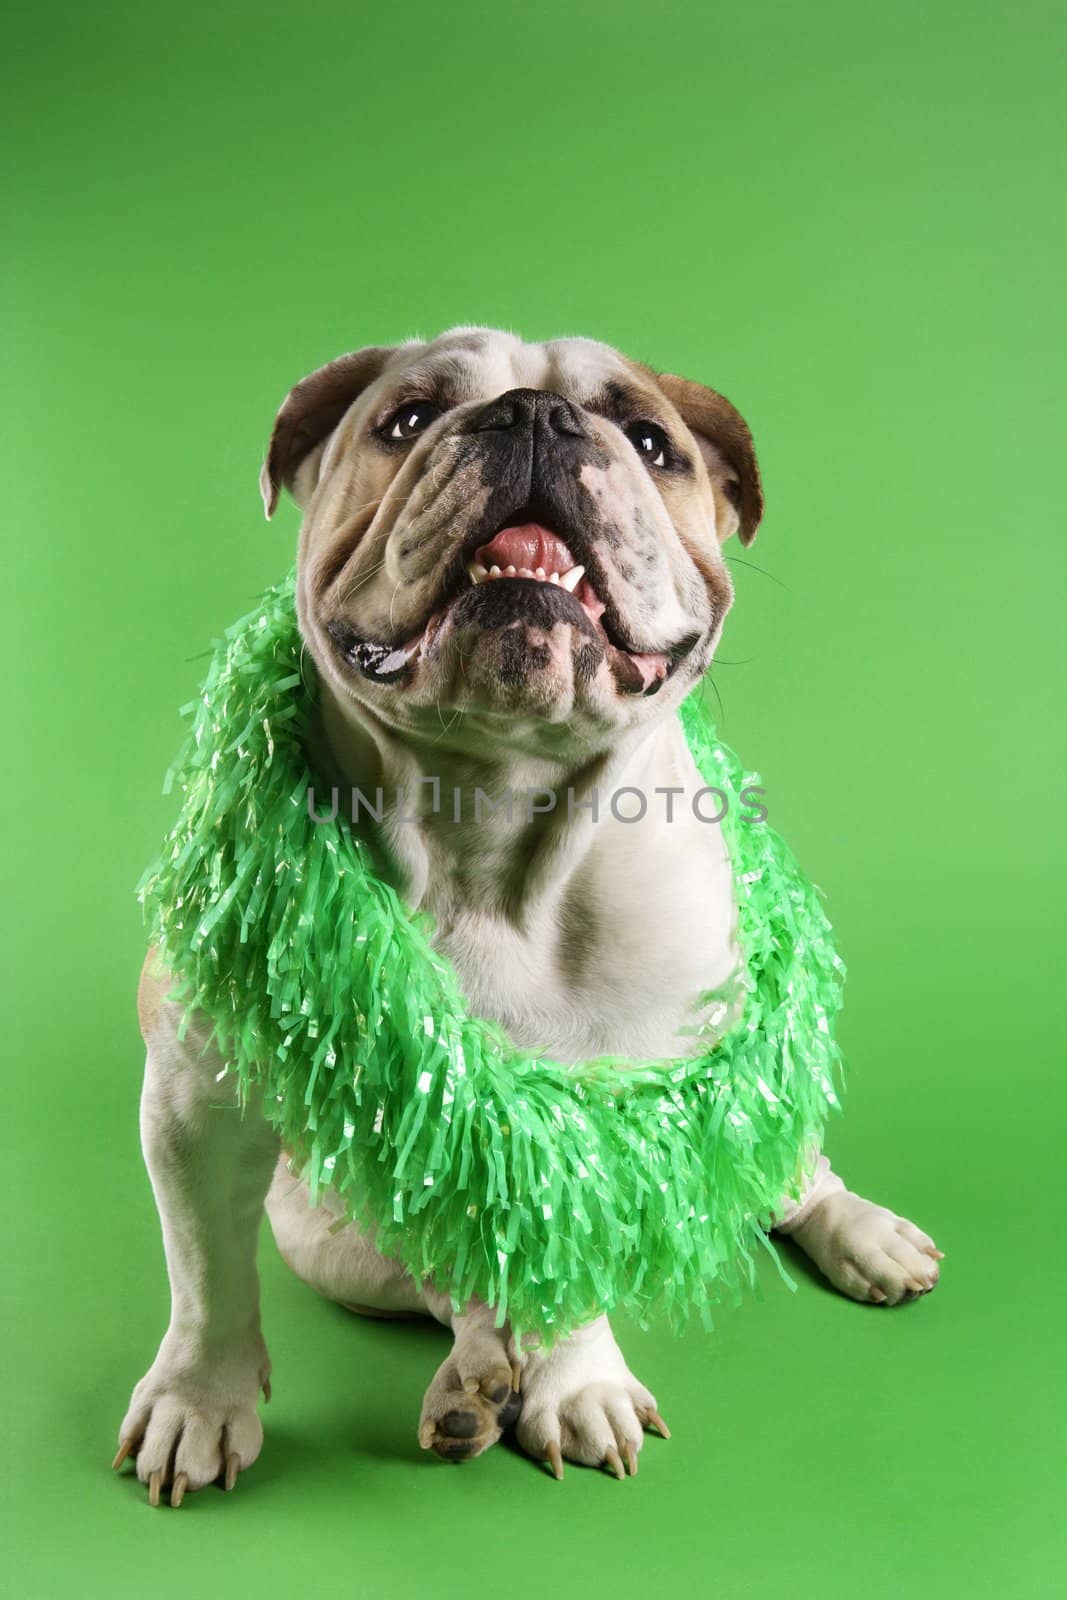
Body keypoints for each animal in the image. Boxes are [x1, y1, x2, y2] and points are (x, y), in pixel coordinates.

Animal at [119, 324, 940, 1497]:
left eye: (649, 440)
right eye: (408, 418)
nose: (535, 416)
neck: (490, 813)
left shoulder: (614, 1106)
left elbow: (569, 1255)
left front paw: (579, 1386)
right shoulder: (194, 1099)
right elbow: (205, 1275)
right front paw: (197, 1401)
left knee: (781, 1172)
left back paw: (859, 1234)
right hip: (330, 1238)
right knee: (451, 1276)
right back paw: (470, 1382)